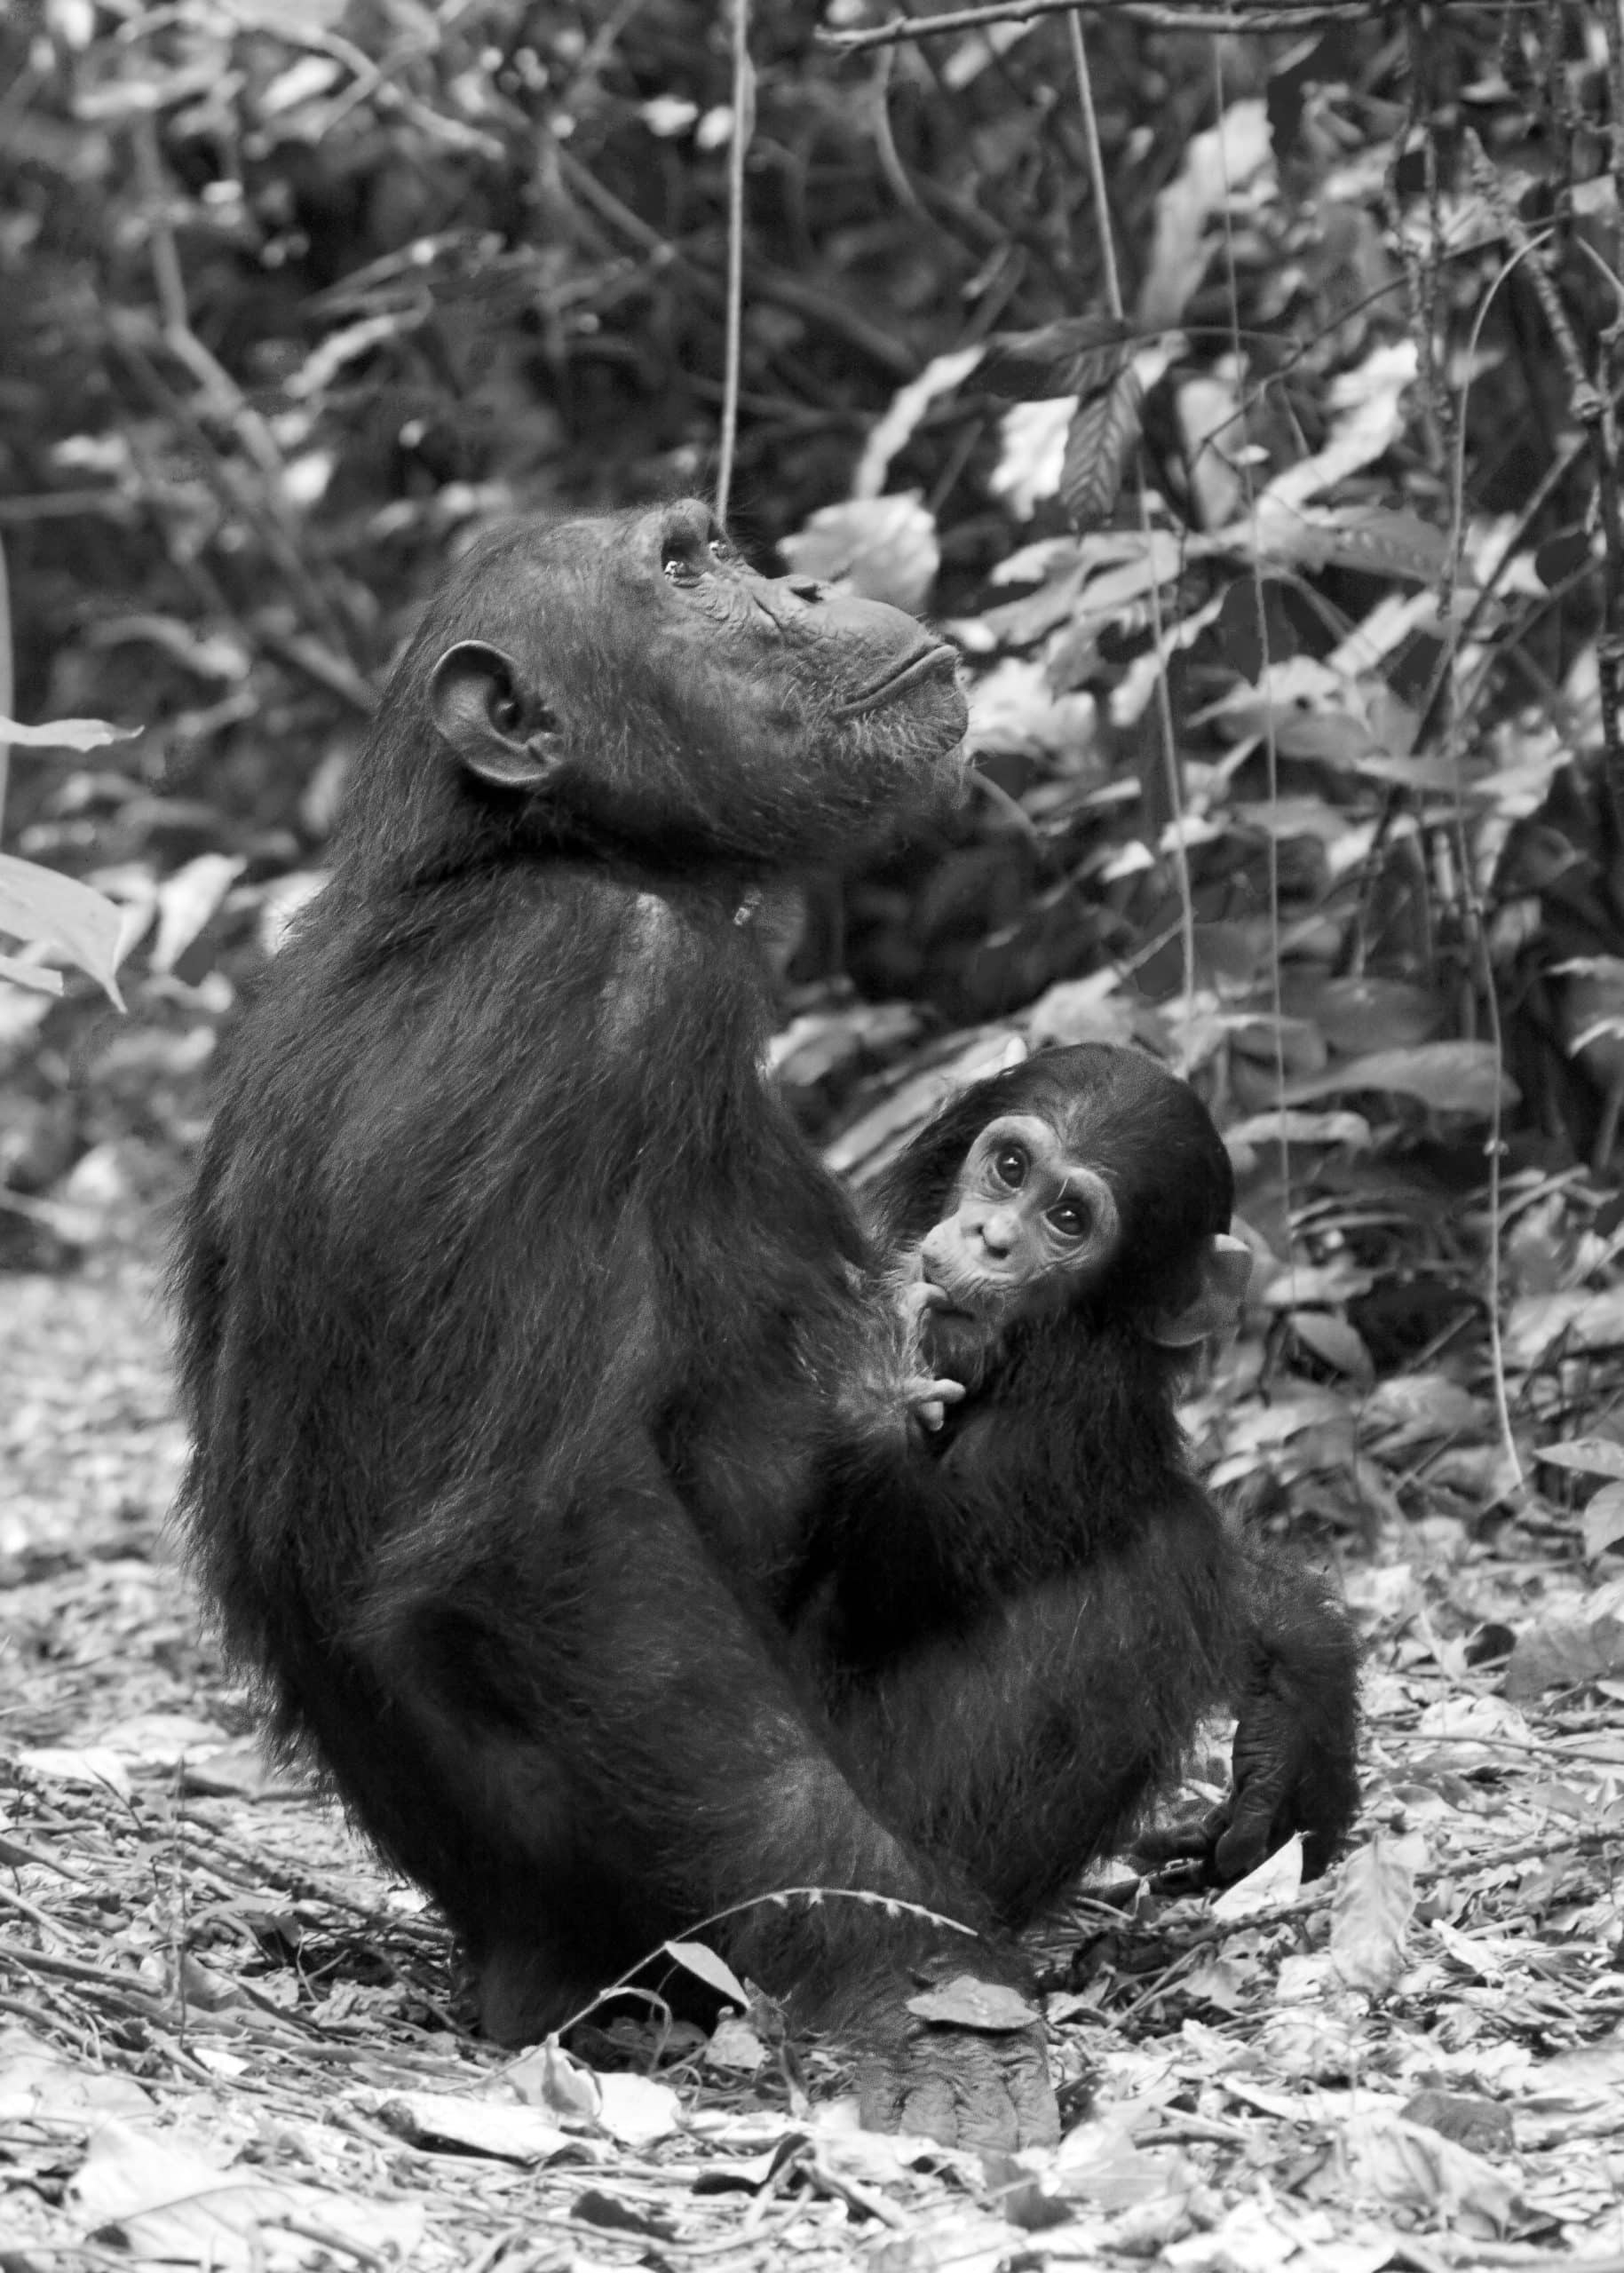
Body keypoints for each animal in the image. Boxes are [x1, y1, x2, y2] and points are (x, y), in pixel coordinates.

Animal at [170, 497, 1055, 2145]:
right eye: (688, 567)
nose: (810, 577)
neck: (521, 852)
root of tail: (510, 1972)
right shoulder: (594, 996)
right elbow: (557, 1536)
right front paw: (918, 1989)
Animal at [804, 1041, 1355, 1954]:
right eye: (1009, 1168)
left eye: (1067, 1220)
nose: (991, 1238)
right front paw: (1293, 1694)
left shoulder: (1073, 1417)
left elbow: (893, 1572)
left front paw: (877, 1372)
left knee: (1165, 1550)